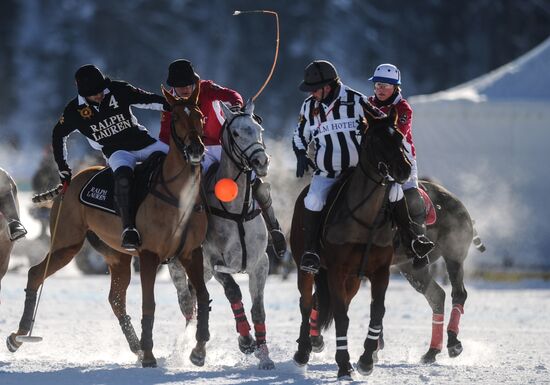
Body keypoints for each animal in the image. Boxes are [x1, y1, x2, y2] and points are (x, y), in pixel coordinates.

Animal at [7, 85, 211, 366]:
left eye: (200, 116)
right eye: (177, 117)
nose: (195, 150)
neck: (178, 195)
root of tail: (70, 183)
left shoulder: (192, 253)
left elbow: (201, 296)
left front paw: (198, 350)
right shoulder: (149, 255)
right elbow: (149, 304)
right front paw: (150, 356)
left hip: (117, 256)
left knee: (116, 299)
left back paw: (136, 347)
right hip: (66, 243)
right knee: (36, 273)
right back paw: (19, 336)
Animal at [166, 101, 274, 368]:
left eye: (259, 128)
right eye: (236, 133)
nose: (261, 161)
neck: (236, 210)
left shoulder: (260, 263)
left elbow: (258, 309)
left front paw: (264, 355)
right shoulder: (214, 263)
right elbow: (233, 291)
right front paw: (245, 341)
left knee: (195, 298)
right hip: (180, 266)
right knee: (187, 302)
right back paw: (191, 349)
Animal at [294, 113, 414, 378]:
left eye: (400, 136)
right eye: (377, 140)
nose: (404, 169)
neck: (365, 219)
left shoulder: (379, 272)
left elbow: (376, 312)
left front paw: (366, 360)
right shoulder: (336, 271)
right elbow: (341, 316)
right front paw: (343, 364)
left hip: (353, 280)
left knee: (323, 302)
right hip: (305, 268)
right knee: (306, 303)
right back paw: (303, 350)